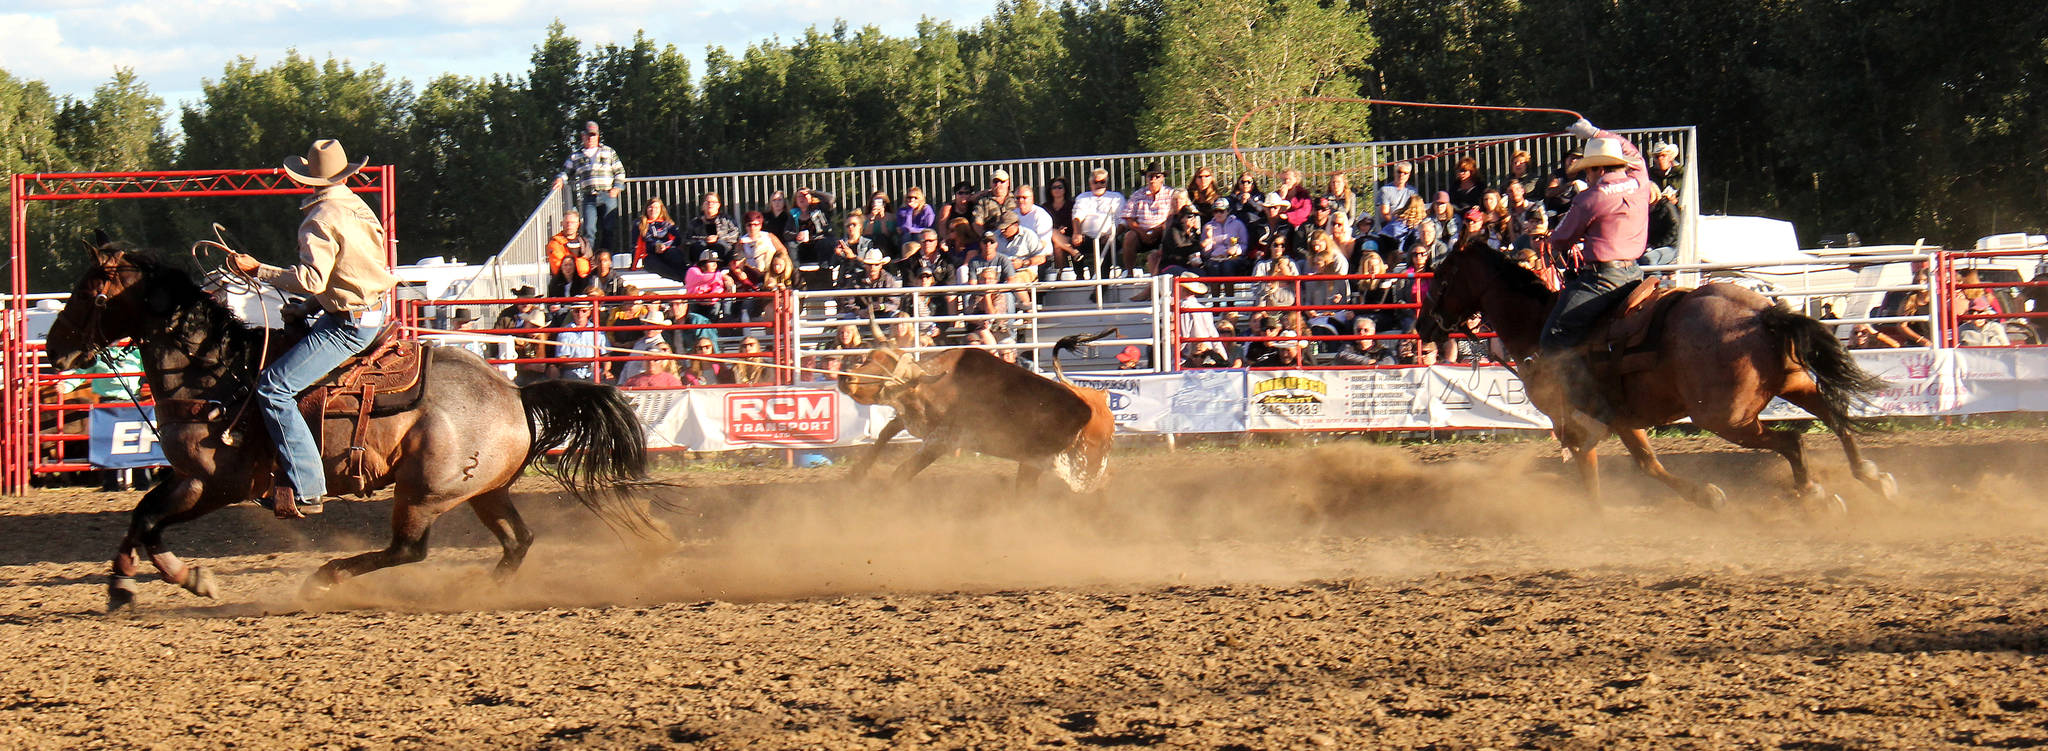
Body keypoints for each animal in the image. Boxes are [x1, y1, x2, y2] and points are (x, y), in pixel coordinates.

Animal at [44, 235, 659, 613]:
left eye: (88, 291)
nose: (53, 350)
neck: (213, 373)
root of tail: (514, 392)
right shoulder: (187, 476)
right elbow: (140, 516)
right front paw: (121, 588)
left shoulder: (218, 482)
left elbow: (151, 524)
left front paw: (191, 579)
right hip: (484, 491)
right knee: (517, 540)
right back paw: (480, 588)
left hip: (423, 491)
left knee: (409, 550)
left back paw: (326, 577)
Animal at [1417, 248, 1892, 511]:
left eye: (1440, 280)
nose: (1422, 327)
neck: (1535, 325)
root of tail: (1760, 313)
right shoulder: (1622, 420)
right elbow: (1649, 464)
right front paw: (1707, 496)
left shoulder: (1576, 426)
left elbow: (1597, 474)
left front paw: (1596, 518)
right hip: (1794, 384)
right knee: (1835, 416)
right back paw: (1873, 477)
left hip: (1726, 418)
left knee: (1793, 440)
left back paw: (1816, 493)